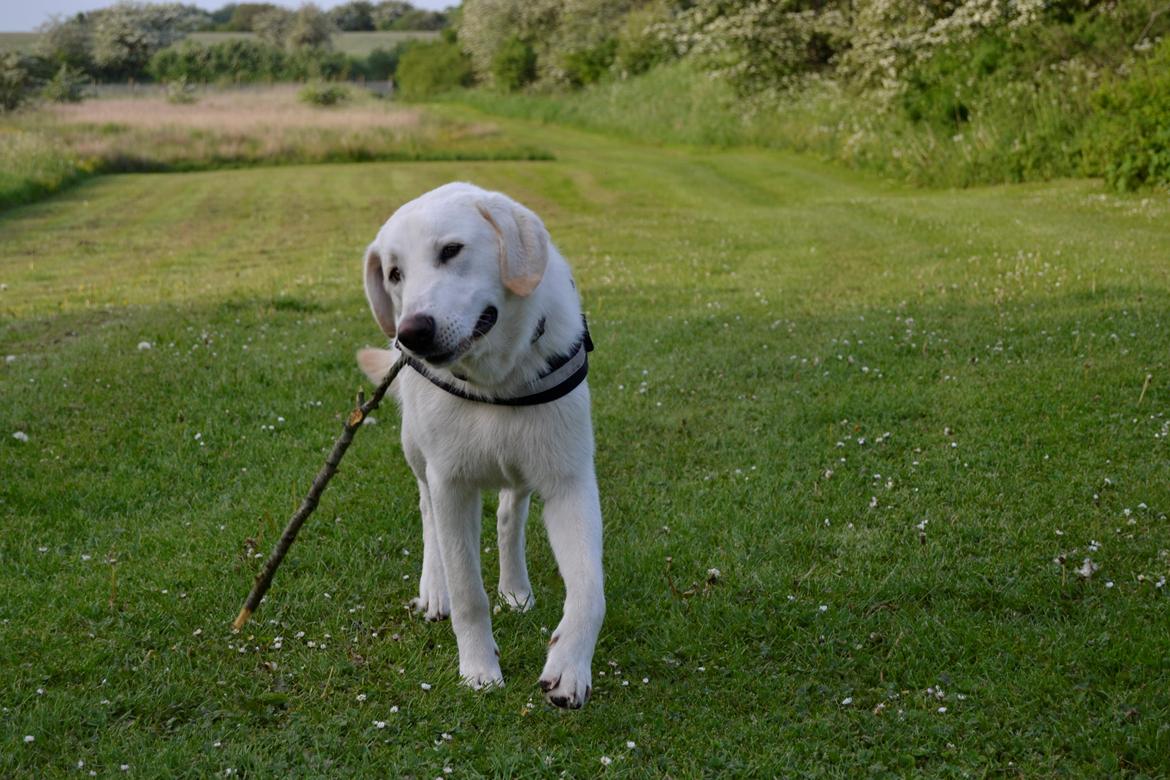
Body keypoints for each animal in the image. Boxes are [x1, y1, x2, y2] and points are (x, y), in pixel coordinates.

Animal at [355, 181, 603, 706]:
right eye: (394, 274)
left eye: (451, 251)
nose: (411, 333)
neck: (494, 382)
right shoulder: (451, 485)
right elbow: (468, 591)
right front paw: (478, 669)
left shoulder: (570, 482)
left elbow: (590, 589)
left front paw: (569, 667)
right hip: (416, 451)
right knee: (427, 512)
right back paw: (435, 587)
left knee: (510, 518)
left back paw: (515, 588)